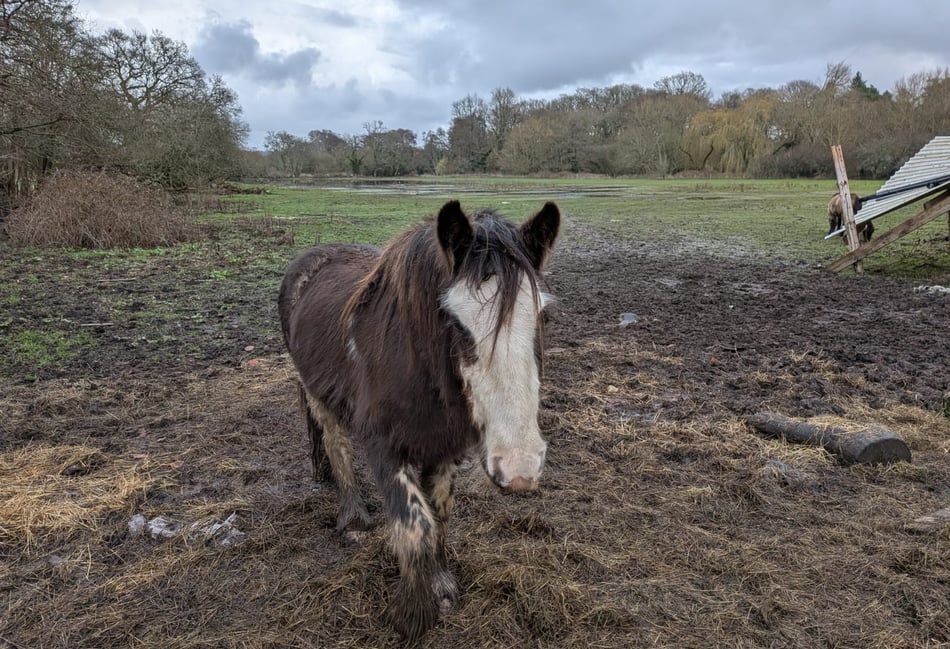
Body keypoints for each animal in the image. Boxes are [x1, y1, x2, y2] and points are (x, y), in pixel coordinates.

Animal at [278, 200, 560, 640]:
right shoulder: (384, 448)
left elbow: (439, 514)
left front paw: (442, 586)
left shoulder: (445, 449)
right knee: (336, 446)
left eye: (542, 317)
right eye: (455, 322)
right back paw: (353, 518)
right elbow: (415, 526)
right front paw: (412, 614)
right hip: (317, 394)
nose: (520, 468)